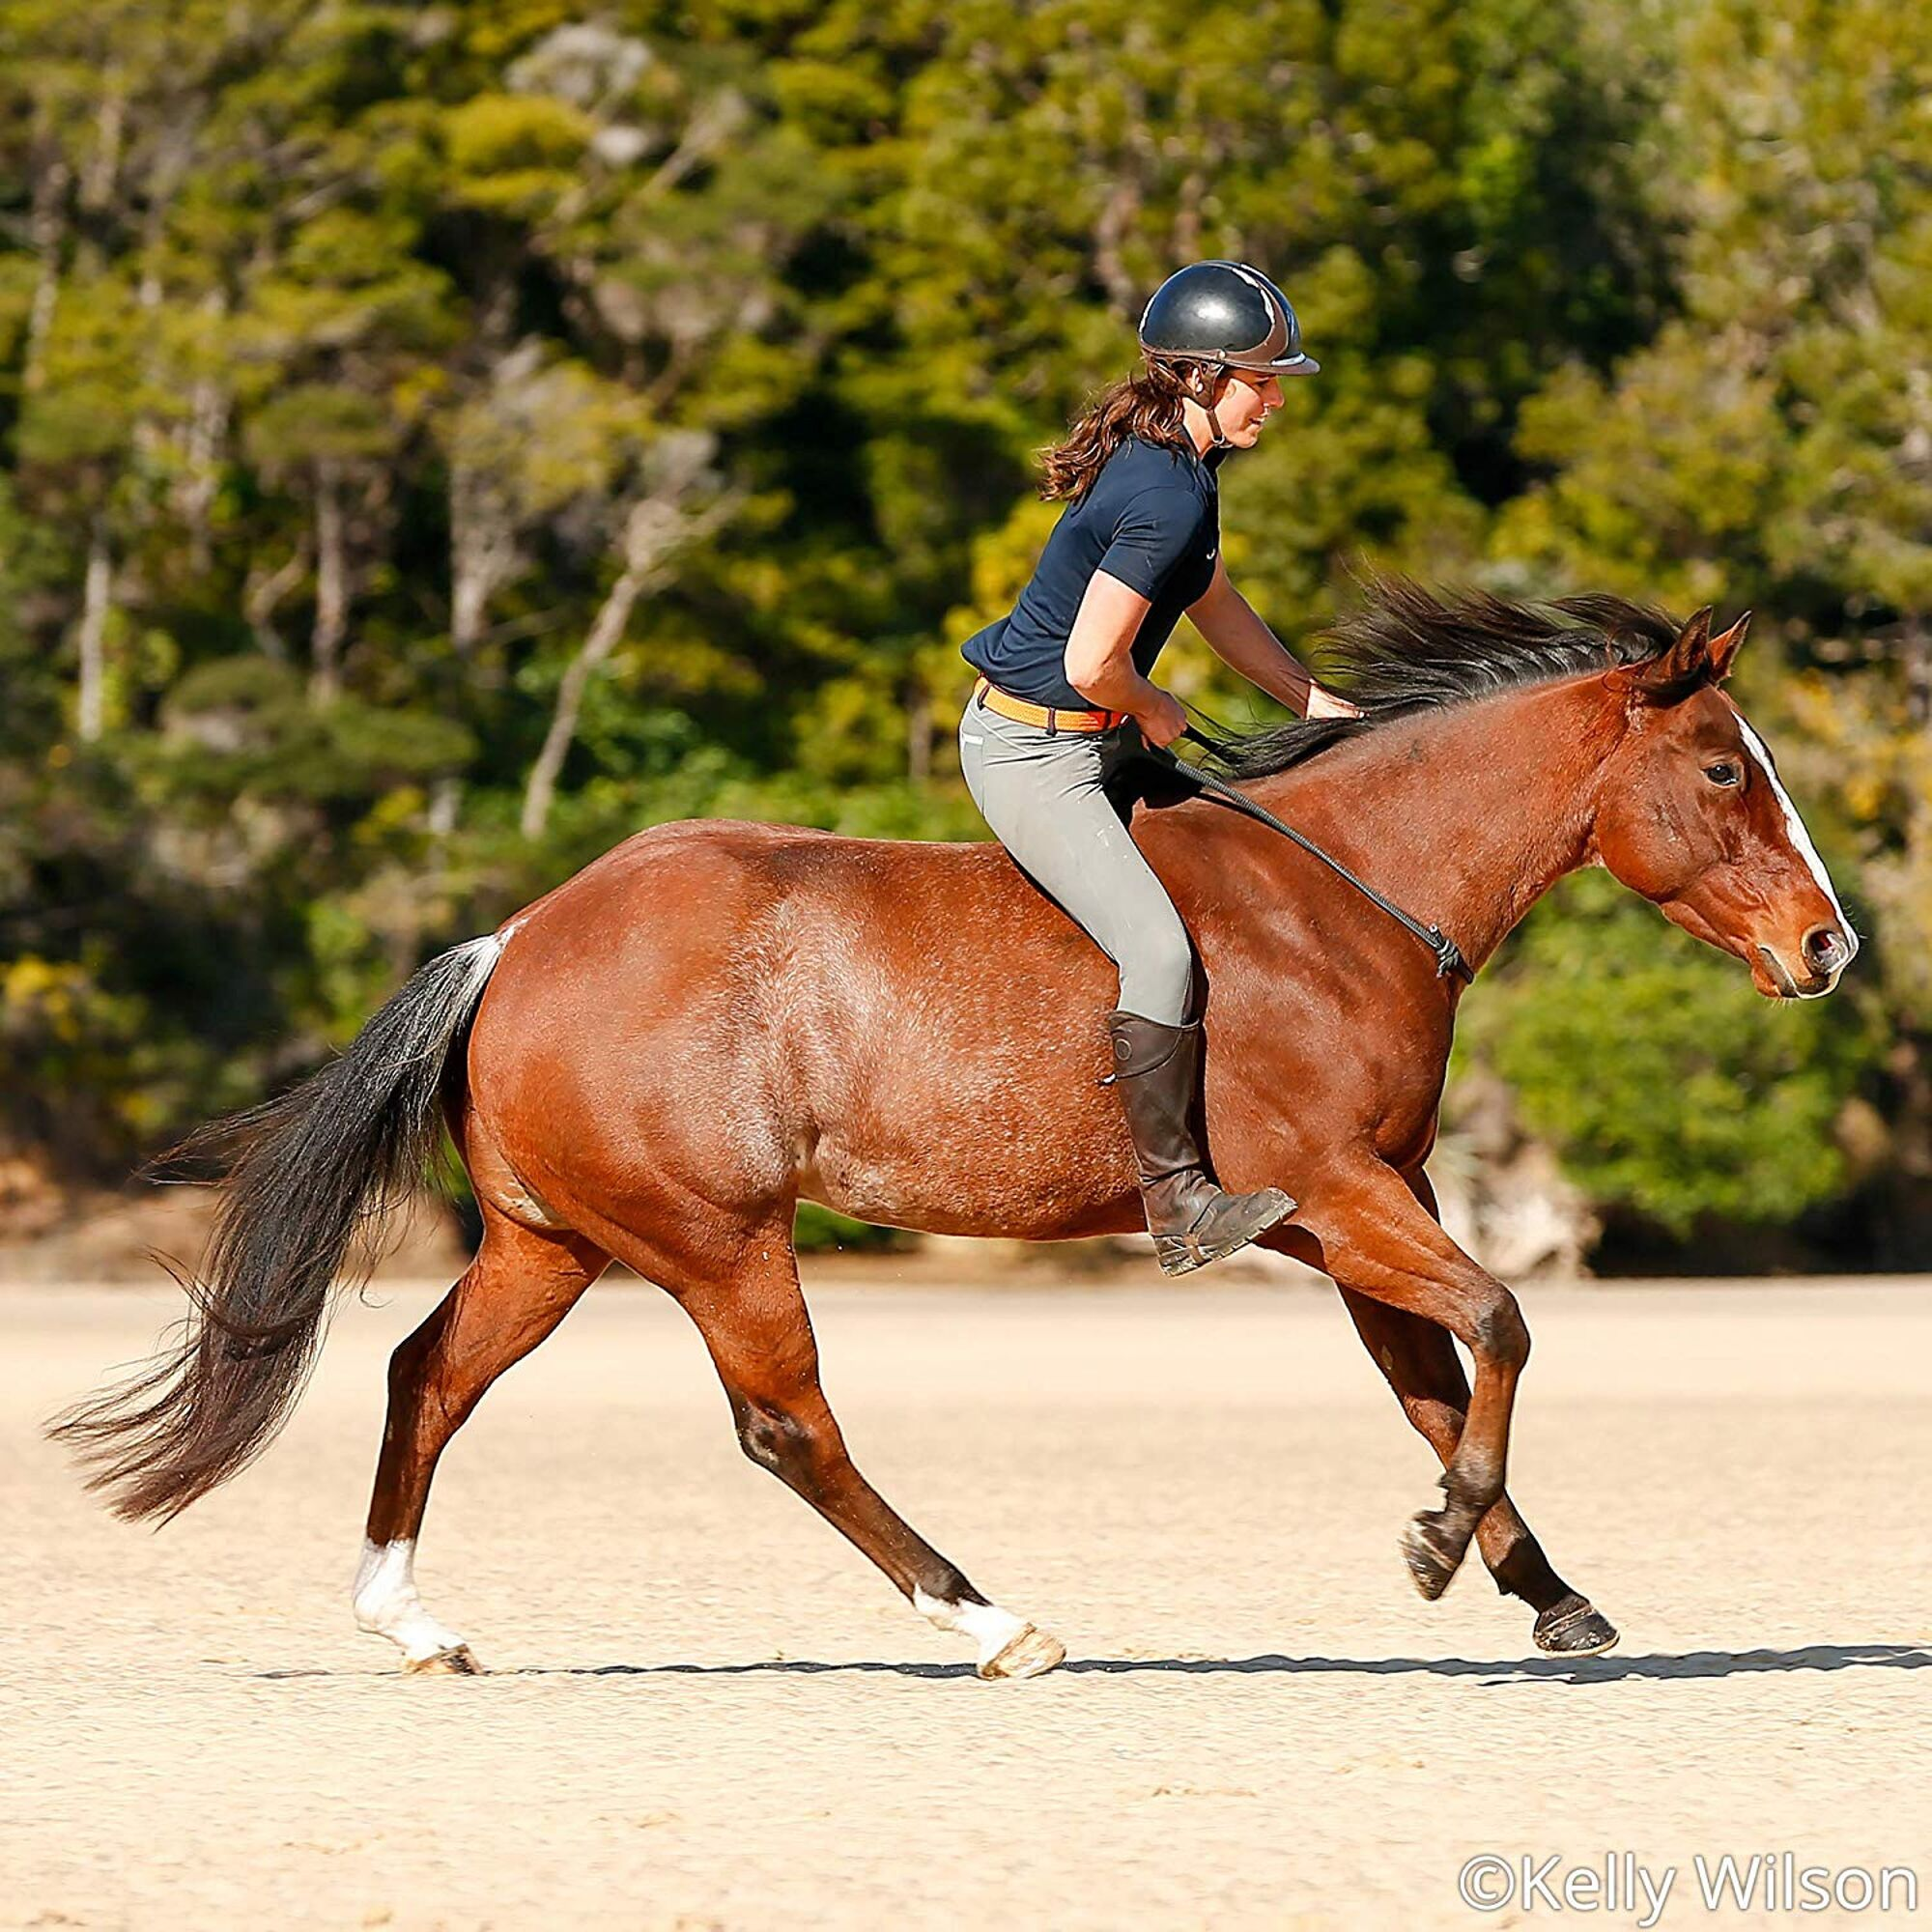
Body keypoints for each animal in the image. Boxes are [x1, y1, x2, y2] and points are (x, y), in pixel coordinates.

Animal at [53, 579, 1858, 1679]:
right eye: (1722, 773)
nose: (1831, 947)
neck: (1354, 891)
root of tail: (522, 937)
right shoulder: (1338, 1193)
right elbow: (1501, 1324)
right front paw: (1440, 1552)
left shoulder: (1361, 1208)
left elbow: (1437, 1379)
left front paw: (1541, 1591)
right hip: (719, 1239)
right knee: (788, 1427)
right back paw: (992, 1620)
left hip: (557, 1243)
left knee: (429, 1374)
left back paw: (411, 1623)